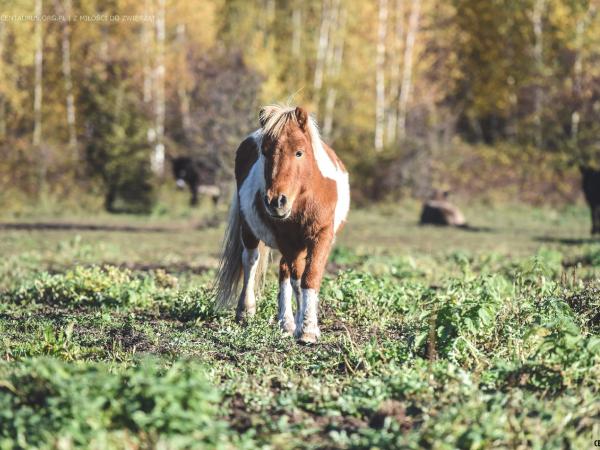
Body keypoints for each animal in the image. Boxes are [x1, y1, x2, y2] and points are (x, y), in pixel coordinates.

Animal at [213, 106, 350, 344]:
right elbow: (297, 279)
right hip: (250, 230)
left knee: (283, 269)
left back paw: (285, 323)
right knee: (251, 260)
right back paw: (248, 311)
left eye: (299, 152)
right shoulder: (287, 240)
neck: (305, 198)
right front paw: (304, 327)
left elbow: (310, 277)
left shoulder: (321, 237)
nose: (276, 201)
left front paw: (308, 328)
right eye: (265, 152)